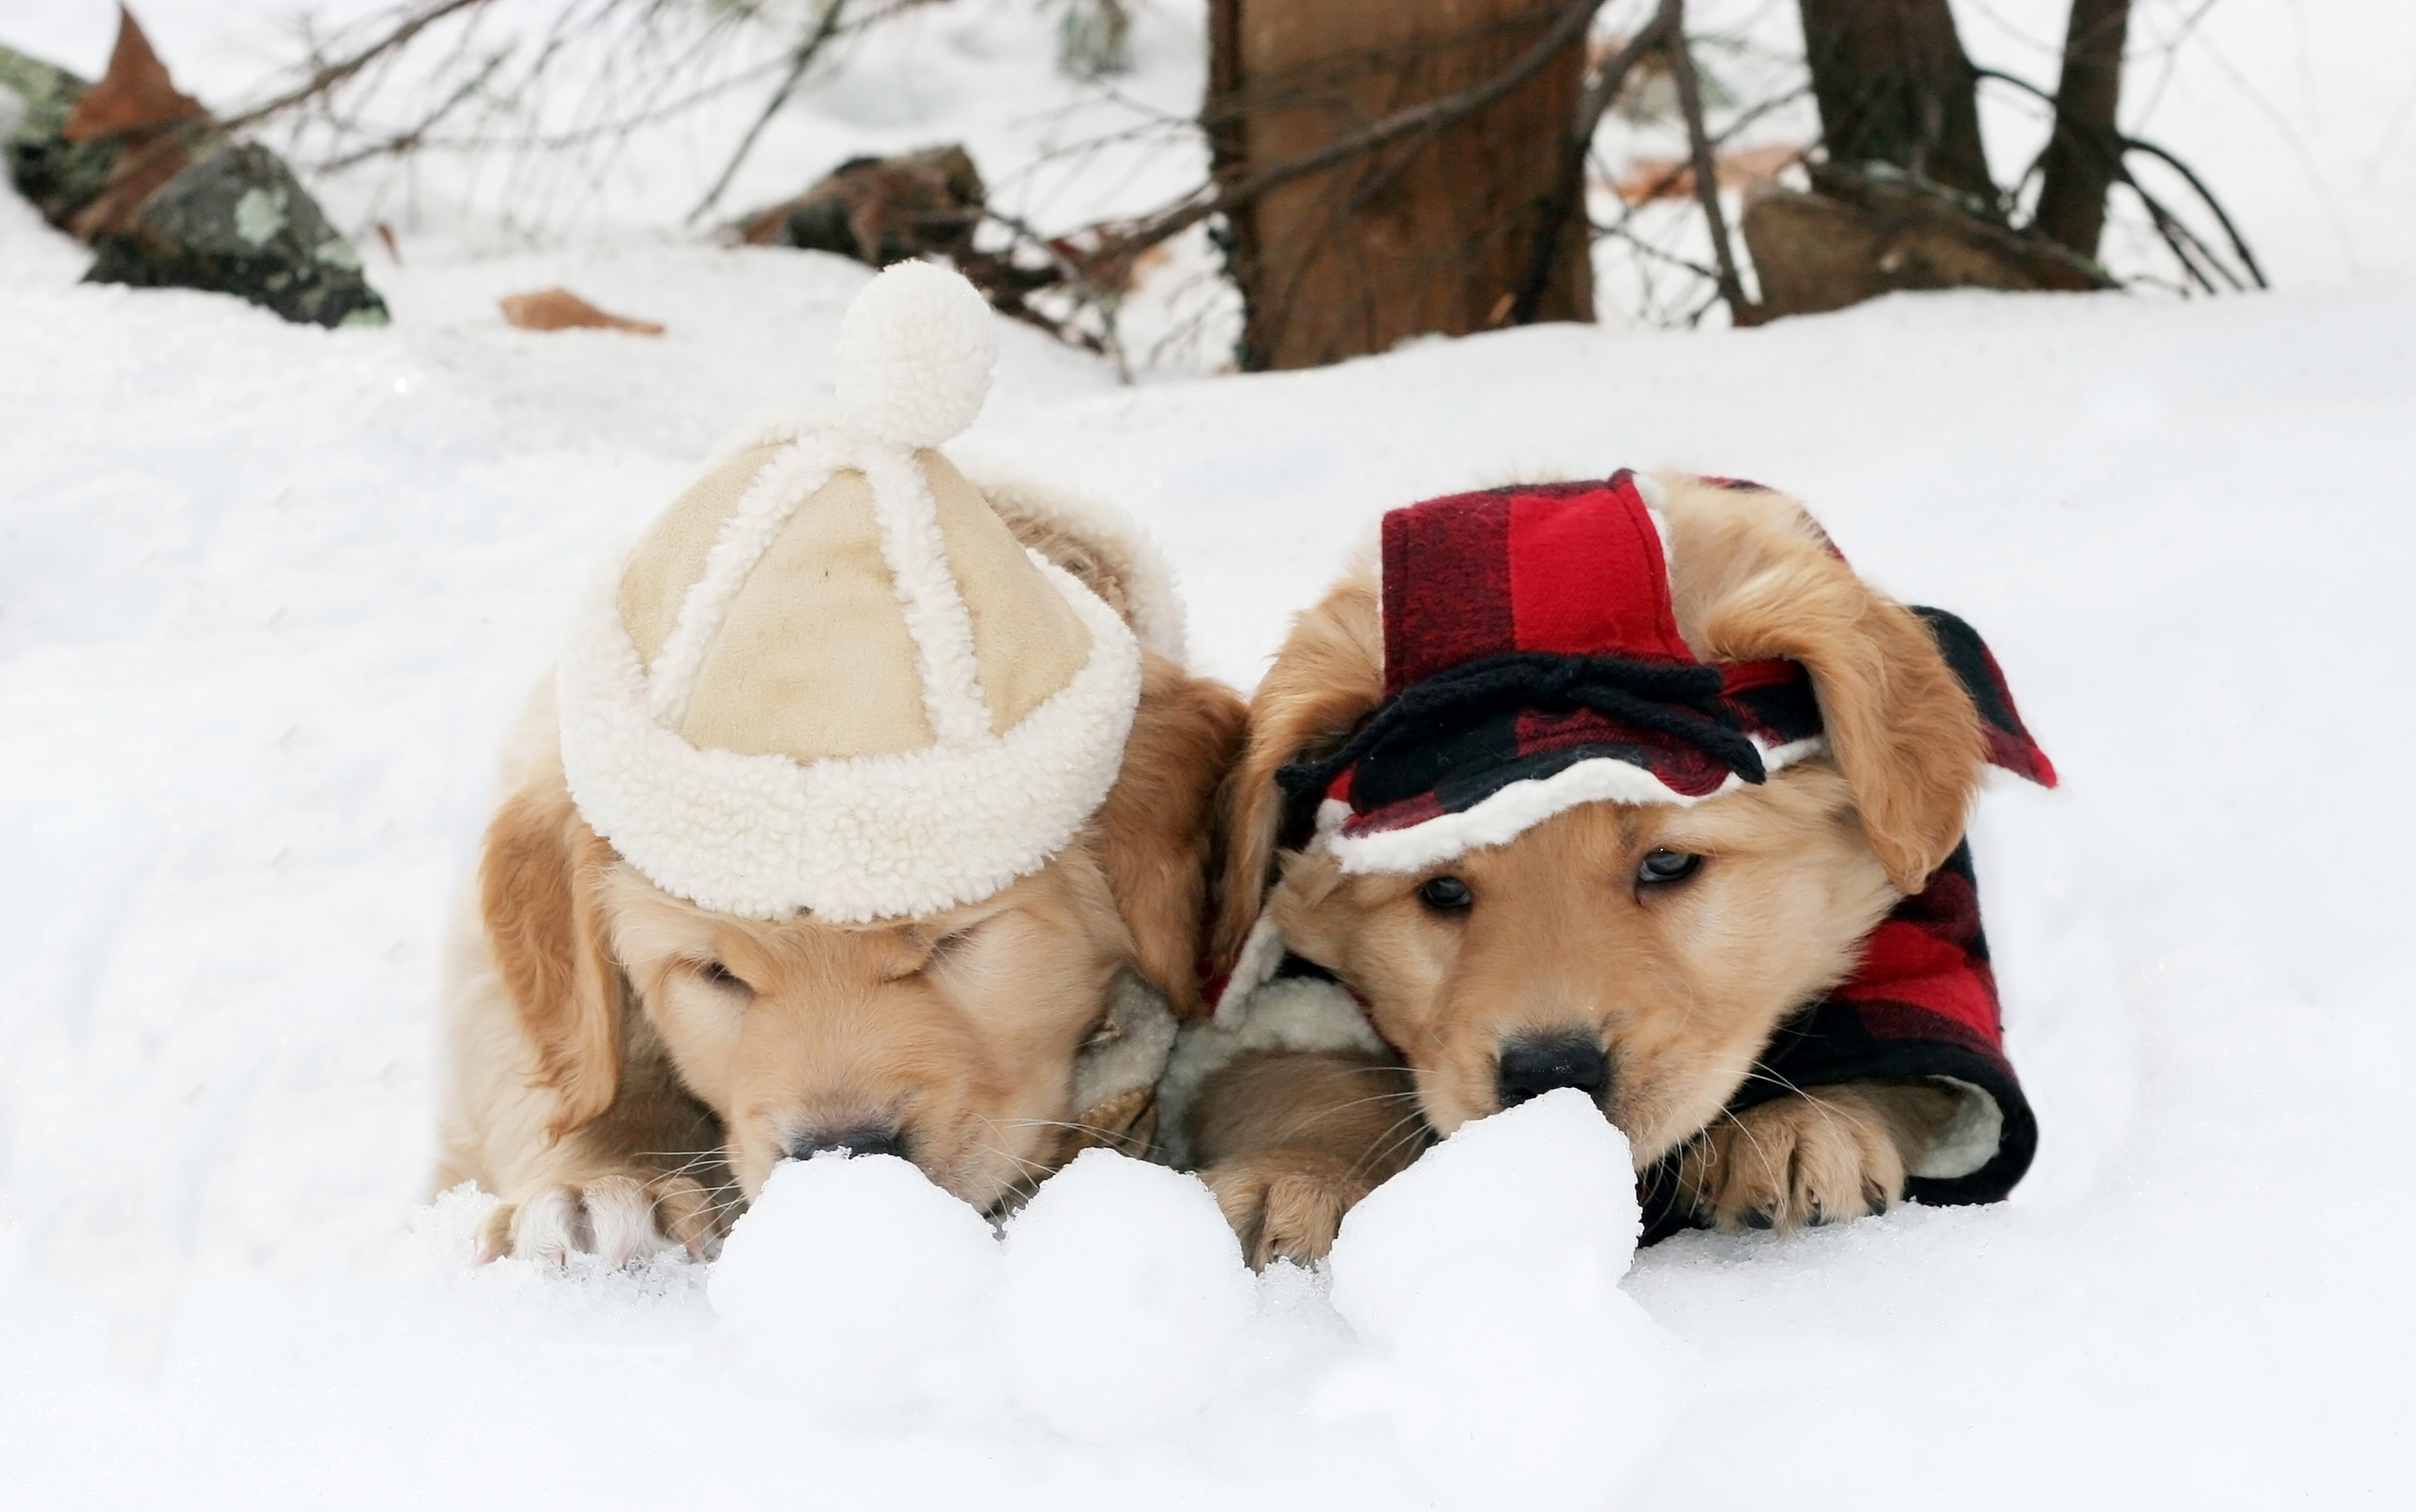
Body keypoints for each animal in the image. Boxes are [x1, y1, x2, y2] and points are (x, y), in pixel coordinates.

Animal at [1169, 471, 2058, 1256]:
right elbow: (1300, 1078)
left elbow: (1900, 1045)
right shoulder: (1290, 994)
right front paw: (1298, 1173)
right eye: (1442, 888)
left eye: (1667, 864)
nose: (1551, 1074)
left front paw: (1801, 1122)